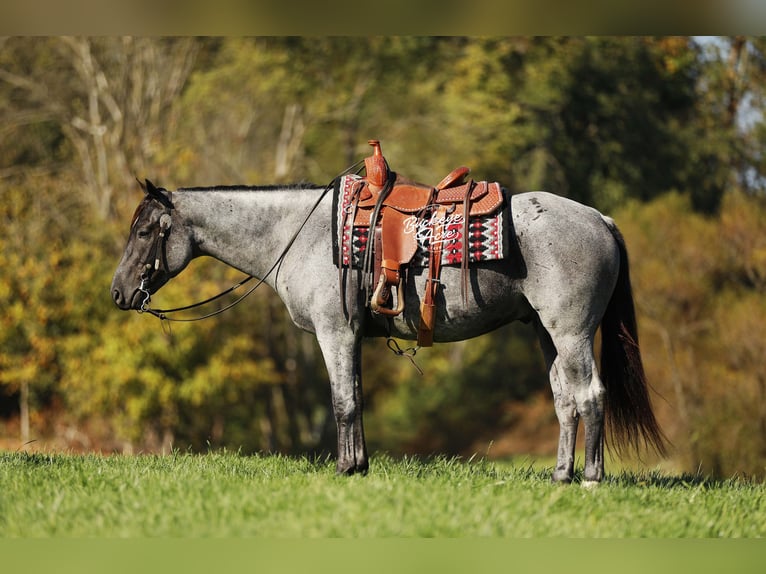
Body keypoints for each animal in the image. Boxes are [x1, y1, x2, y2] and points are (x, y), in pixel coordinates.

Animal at [111, 177, 666, 486]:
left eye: (144, 231)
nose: (118, 293)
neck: (303, 234)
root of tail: (599, 218)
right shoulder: (351, 335)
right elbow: (354, 397)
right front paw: (359, 465)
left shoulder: (334, 332)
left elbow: (342, 402)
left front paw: (343, 469)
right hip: (546, 335)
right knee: (566, 399)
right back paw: (561, 476)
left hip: (571, 333)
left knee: (590, 394)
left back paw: (591, 478)